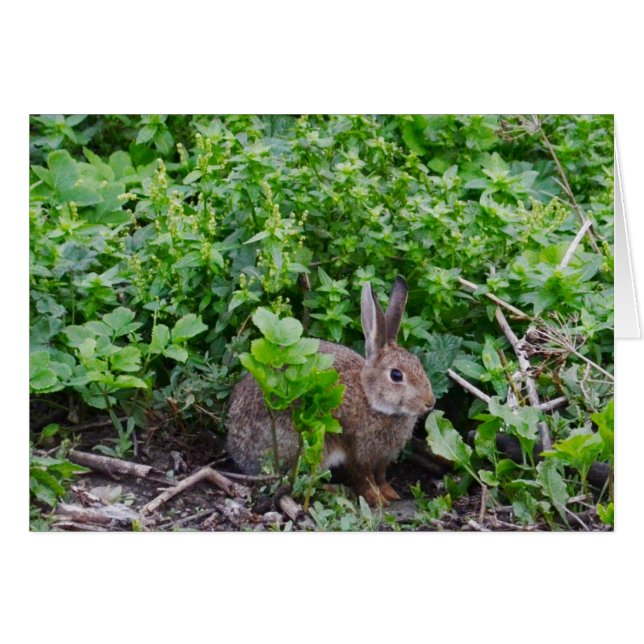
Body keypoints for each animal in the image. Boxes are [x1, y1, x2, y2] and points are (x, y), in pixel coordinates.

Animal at [225, 276, 435, 506]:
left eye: (418, 363)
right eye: (396, 375)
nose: (430, 402)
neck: (371, 399)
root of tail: (235, 447)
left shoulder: (382, 458)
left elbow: (381, 476)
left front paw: (391, 494)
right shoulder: (356, 450)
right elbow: (365, 478)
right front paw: (377, 500)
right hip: (307, 445)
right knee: (300, 480)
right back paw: (337, 490)